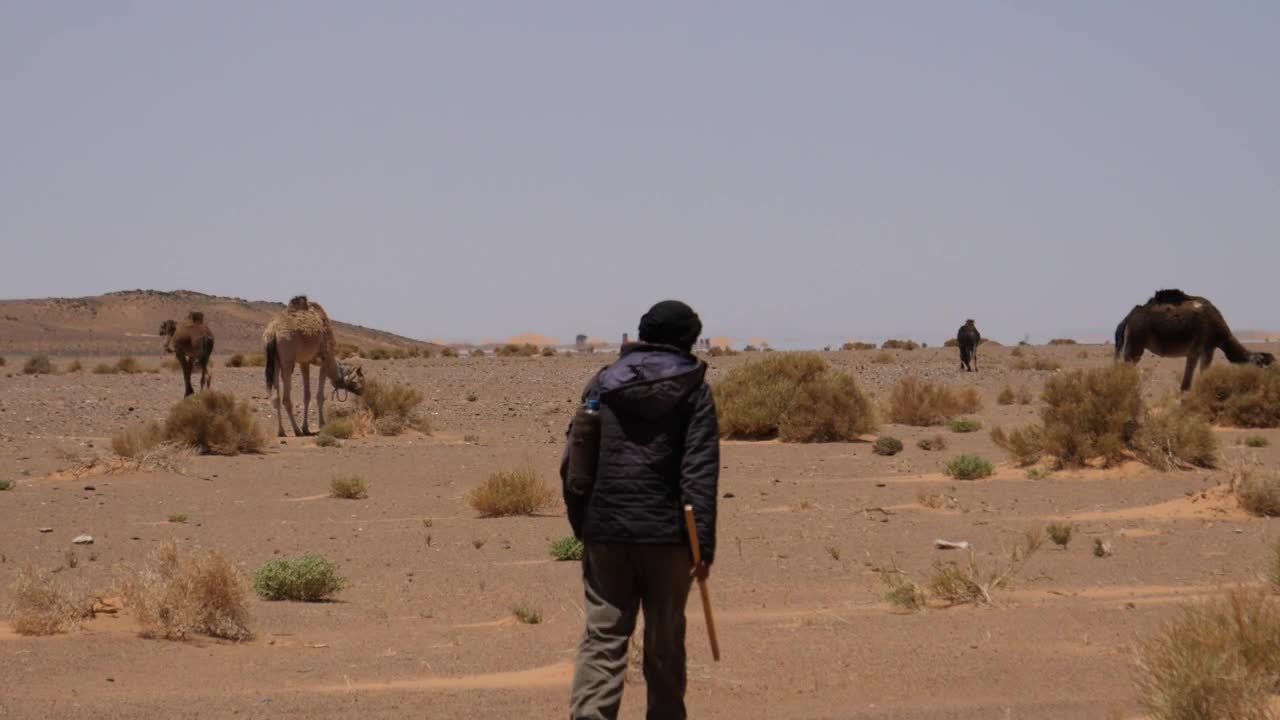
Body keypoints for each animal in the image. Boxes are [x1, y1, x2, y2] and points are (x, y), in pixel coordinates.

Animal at [263, 296, 364, 437]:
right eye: (361, 379)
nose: (363, 390)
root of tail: (272, 332)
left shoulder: (304, 362)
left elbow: (307, 395)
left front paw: (306, 428)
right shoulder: (325, 358)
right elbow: (319, 396)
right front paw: (322, 424)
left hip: (274, 360)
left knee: (276, 396)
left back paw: (281, 431)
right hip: (287, 357)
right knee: (286, 398)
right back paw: (296, 430)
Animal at [1115, 289, 1274, 392]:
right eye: (1262, 367)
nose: (1268, 385)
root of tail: (1127, 319)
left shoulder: (1193, 352)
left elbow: (1186, 385)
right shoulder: (1208, 347)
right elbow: (1204, 375)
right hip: (1135, 344)